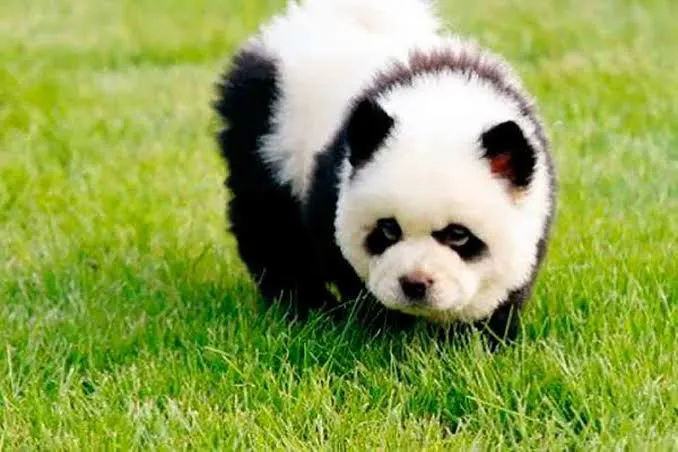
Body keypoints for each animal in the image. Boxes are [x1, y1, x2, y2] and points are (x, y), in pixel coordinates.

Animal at [213, 0, 556, 344]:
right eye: (388, 229)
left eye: (459, 235)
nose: (415, 284)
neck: (442, 105)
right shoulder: (332, 182)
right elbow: (345, 264)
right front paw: (383, 334)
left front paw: (482, 339)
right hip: (268, 135)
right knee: (270, 226)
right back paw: (304, 307)